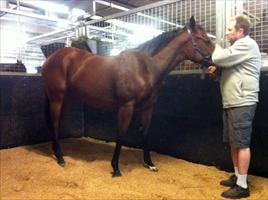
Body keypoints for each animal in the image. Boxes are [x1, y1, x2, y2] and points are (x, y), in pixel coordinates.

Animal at [42, 16, 216, 177]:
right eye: (205, 39)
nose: (215, 64)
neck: (145, 68)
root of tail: (51, 58)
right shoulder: (126, 106)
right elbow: (121, 133)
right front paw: (116, 168)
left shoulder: (147, 108)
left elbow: (145, 132)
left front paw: (150, 164)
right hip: (57, 98)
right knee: (55, 123)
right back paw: (60, 158)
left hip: (67, 100)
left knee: (57, 123)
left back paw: (56, 152)